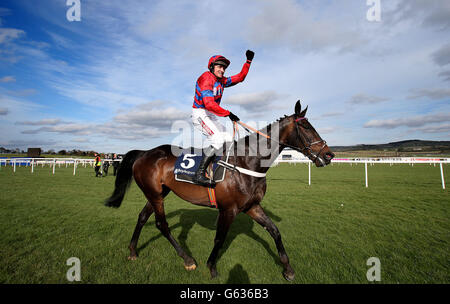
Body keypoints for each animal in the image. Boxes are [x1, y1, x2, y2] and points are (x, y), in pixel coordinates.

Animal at [105, 101, 334, 282]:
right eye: (306, 127)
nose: (329, 155)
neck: (248, 161)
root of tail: (144, 153)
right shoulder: (228, 209)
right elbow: (220, 238)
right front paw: (212, 267)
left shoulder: (252, 206)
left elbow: (274, 231)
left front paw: (287, 269)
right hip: (155, 194)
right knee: (162, 224)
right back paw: (187, 259)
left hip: (158, 193)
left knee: (142, 216)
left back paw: (133, 250)